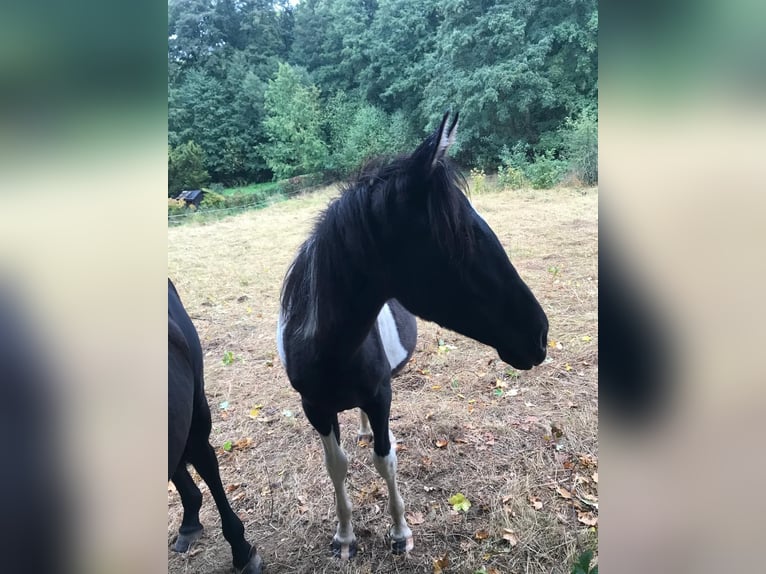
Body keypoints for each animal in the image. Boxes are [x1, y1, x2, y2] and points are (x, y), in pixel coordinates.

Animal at [276, 111, 549, 559]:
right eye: (462, 240)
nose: (540, 334)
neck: (326, 349)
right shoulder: (314, 408)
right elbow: (337, 466)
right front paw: (345, 537)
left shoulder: (380, 397)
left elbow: (385, 460)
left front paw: (400, 533)